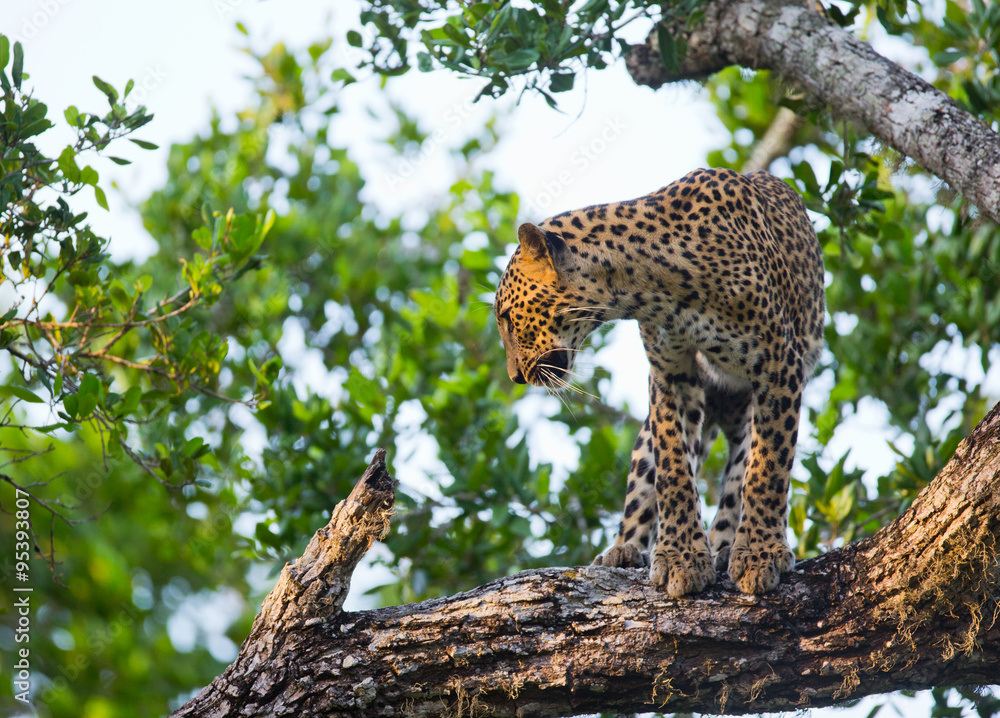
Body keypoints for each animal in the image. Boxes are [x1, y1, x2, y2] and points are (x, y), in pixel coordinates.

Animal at [494, 167, 825, 597]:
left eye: (505, 316)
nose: (515, 376)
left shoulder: (778, 365)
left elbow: (768, 468)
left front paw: (759, 552)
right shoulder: (671, 373)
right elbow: (673, 468)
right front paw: (681, 556)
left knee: (739, 475)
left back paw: (724, 545)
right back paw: (625, 549)